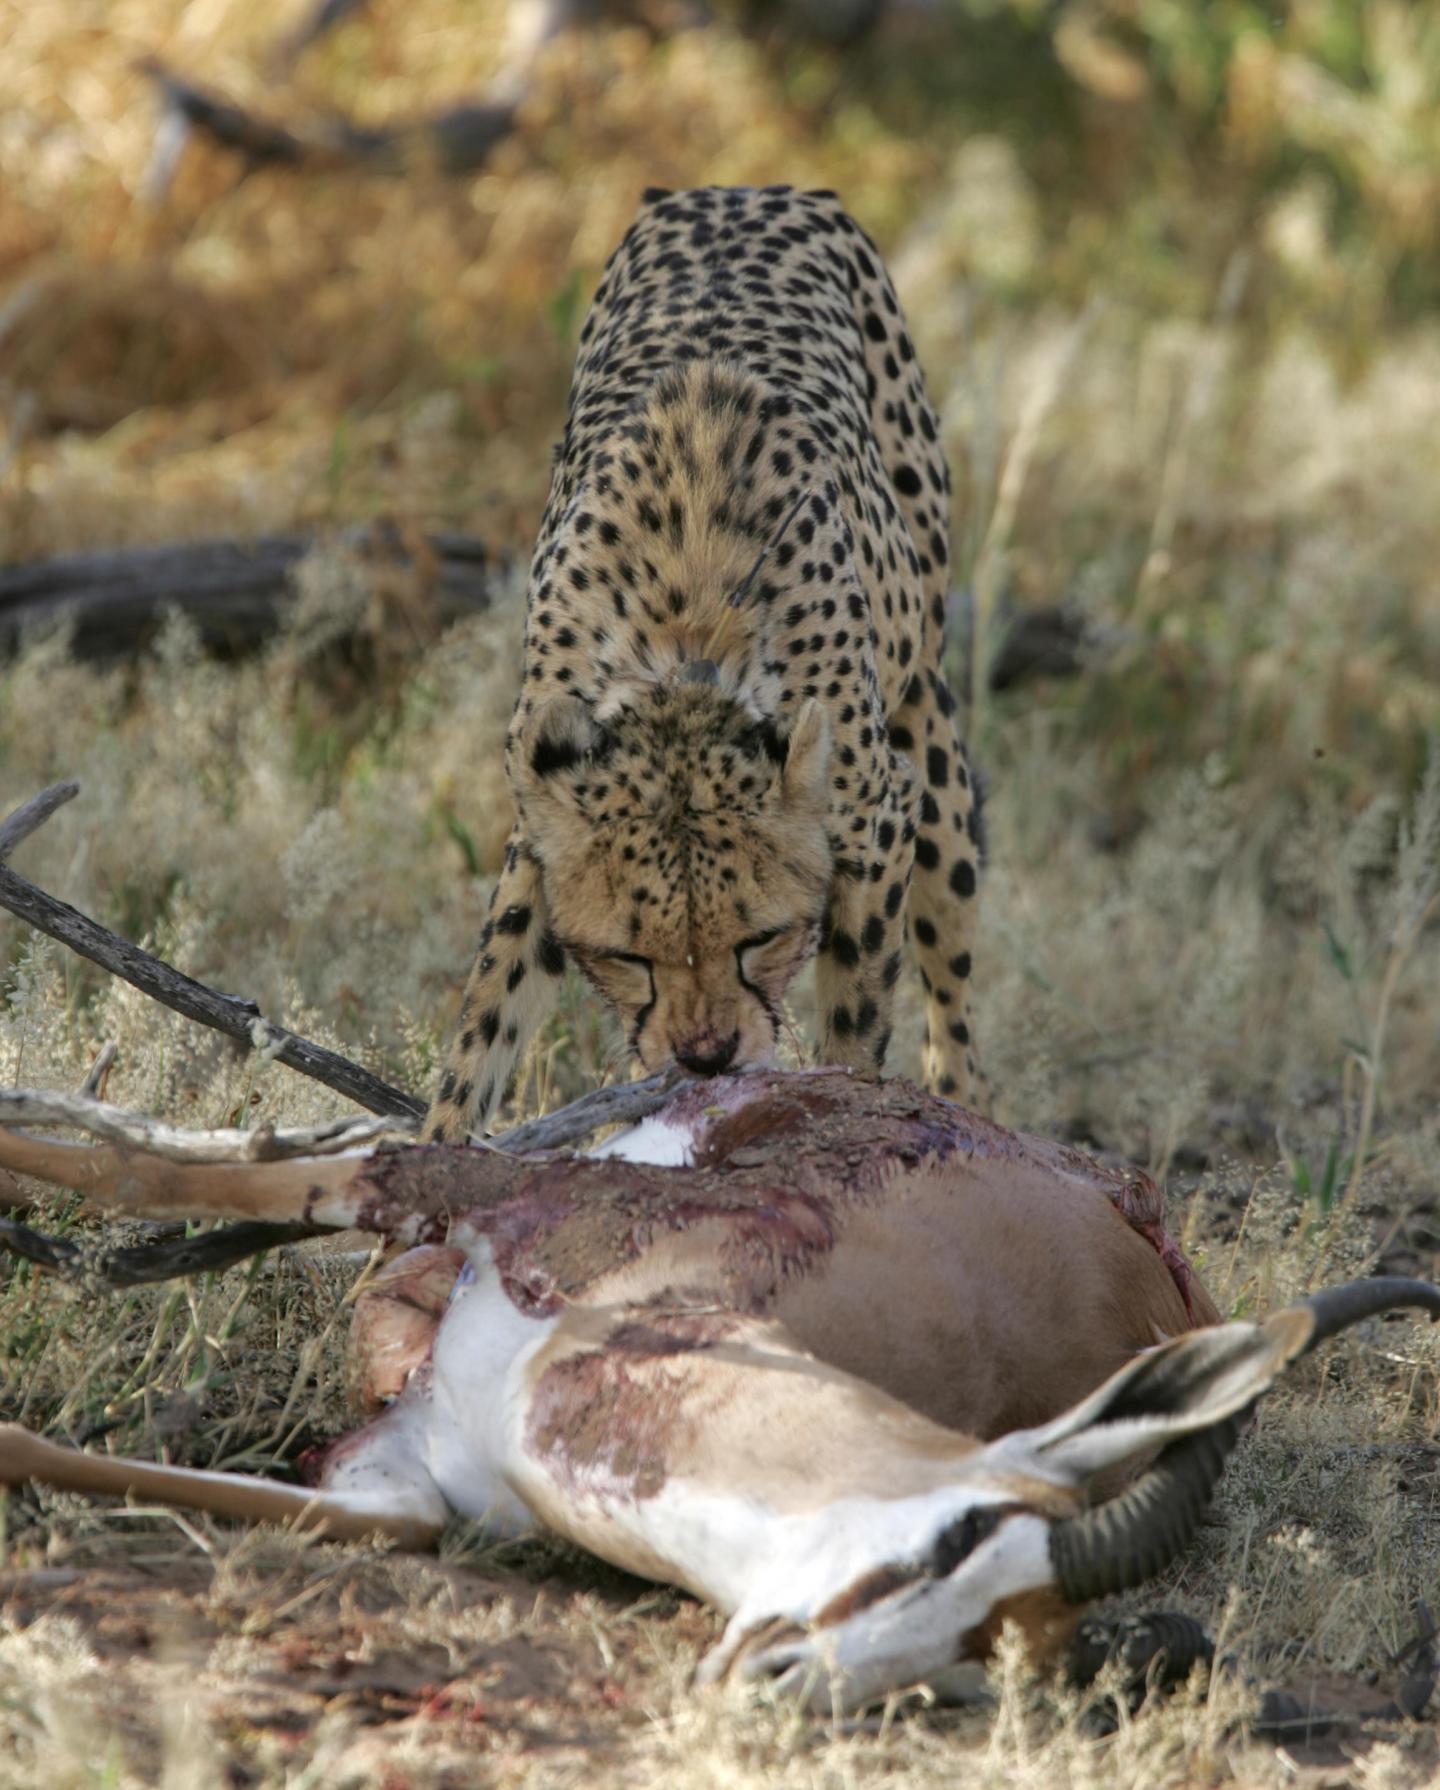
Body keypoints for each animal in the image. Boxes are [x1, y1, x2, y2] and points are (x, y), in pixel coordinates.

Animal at [422, 188, 981, 1138]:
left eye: (759, 939)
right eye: (629, 955)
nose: (706, 1056)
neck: (682, 656)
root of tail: (748, 190)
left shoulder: (876, 821)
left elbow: (856, 1014)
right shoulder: (539, 826)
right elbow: (485, 1019)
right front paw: (435, 1146)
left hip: (926, 717)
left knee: (956, 973)